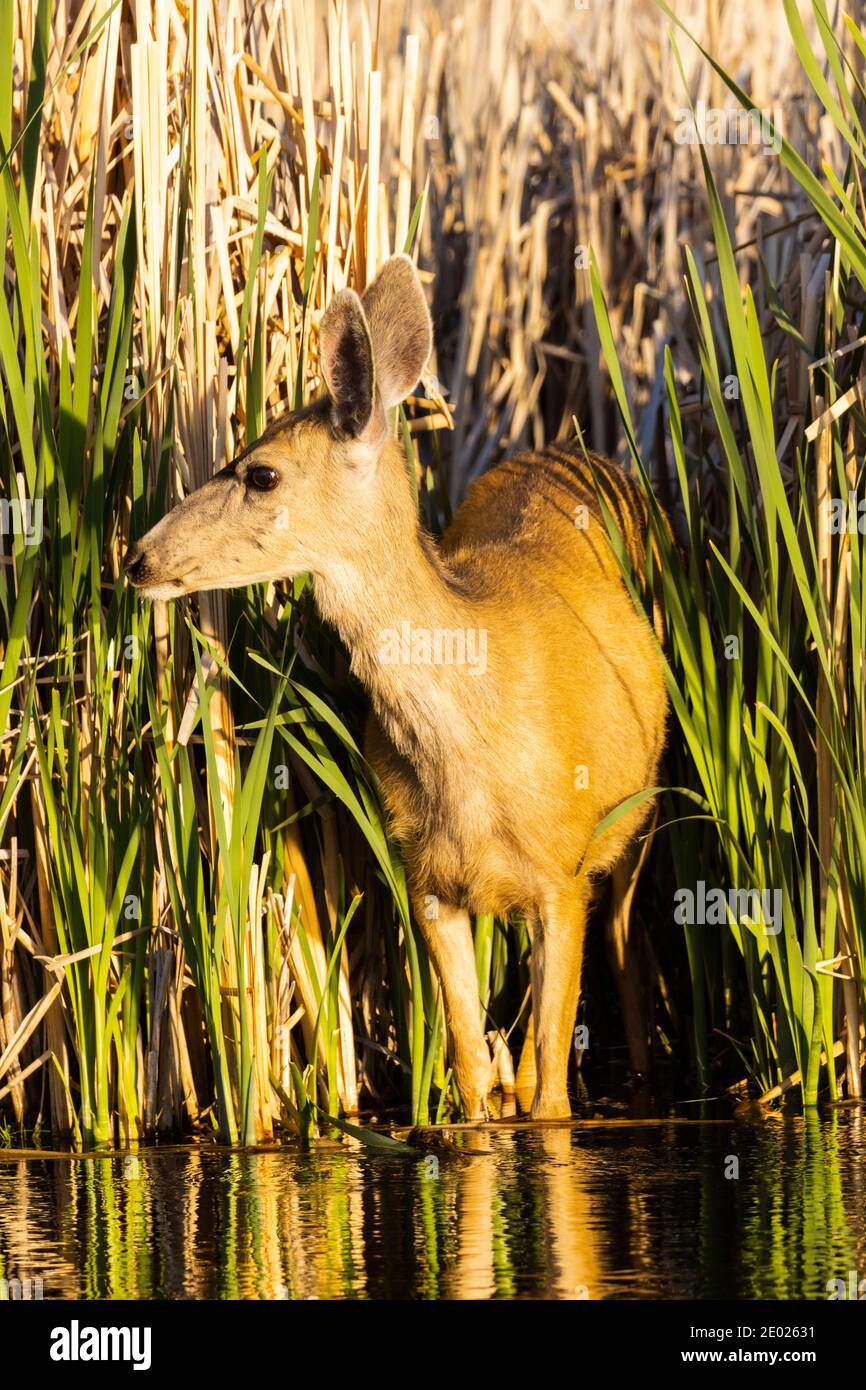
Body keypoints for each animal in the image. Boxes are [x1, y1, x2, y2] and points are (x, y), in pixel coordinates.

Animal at [127, 252, 670, 1117]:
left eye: (262, 474)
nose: (137, 556)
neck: (474, 744)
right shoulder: (429, 884)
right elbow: (473, 1077)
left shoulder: (561, 875)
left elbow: (553, 1099)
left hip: (636, 822)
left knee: (629, 951)